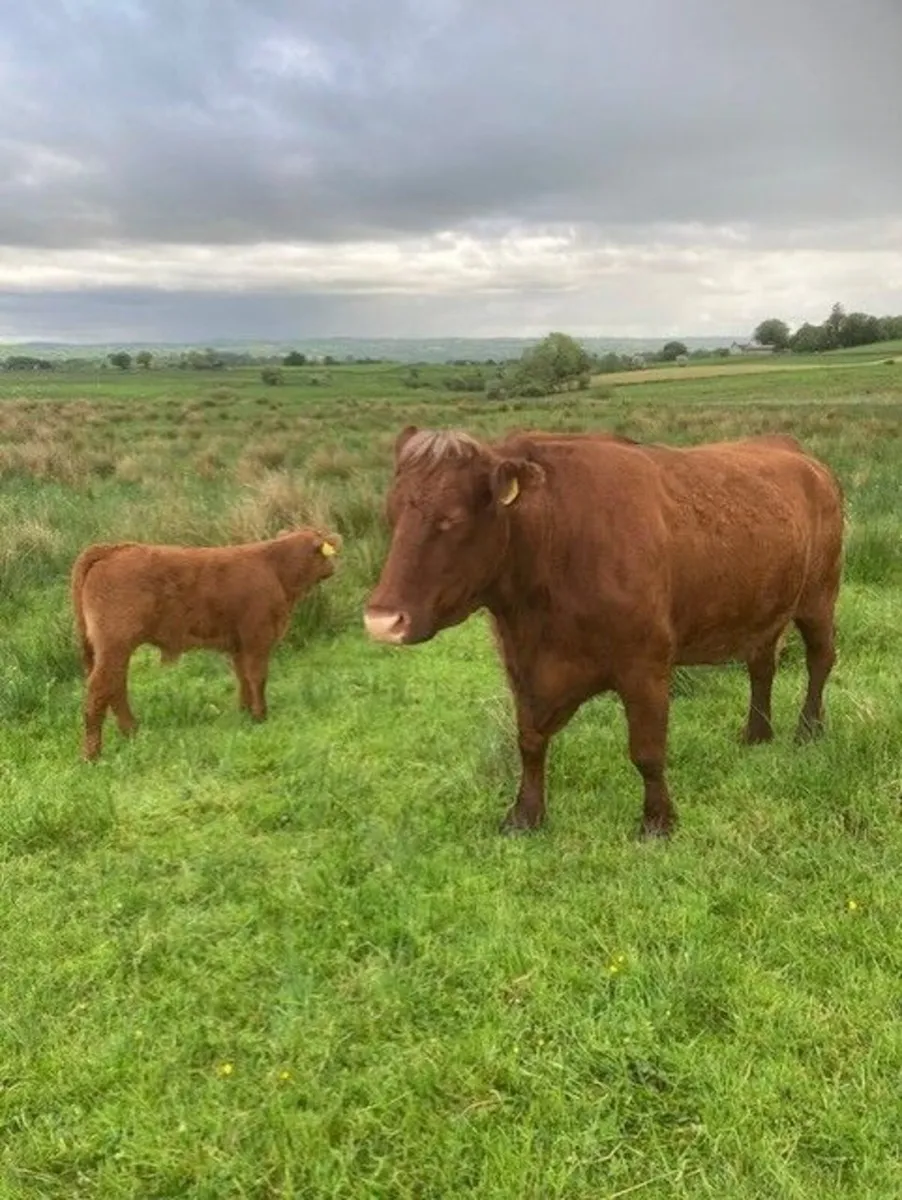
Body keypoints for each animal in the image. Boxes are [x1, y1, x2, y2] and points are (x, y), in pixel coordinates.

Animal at [72, 527, 340, 760]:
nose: (334, 566)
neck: (275, 568)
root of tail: (112, 549)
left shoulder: (238, 644)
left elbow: (242, 677)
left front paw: (244, 713)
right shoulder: (257, 637)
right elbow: (257, 676)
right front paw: (260, 715)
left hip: (113, 649)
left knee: (115, 687)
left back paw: (131, 733)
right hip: (114, 645)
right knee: (100, 689)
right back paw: (92, 755)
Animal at [364, 425, 844, 839]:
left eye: (452, 518)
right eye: (391, 515)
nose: (382, 621)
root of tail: (797, 453)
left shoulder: (646, 667)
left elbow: (647, 752)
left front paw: (658, 821)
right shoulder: (521, 666)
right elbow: (529, 741)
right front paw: (525, 815)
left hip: (819, 596)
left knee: (820, 659)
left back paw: (808, 730)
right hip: (765, 607)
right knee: (761, 665)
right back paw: (757, 734)